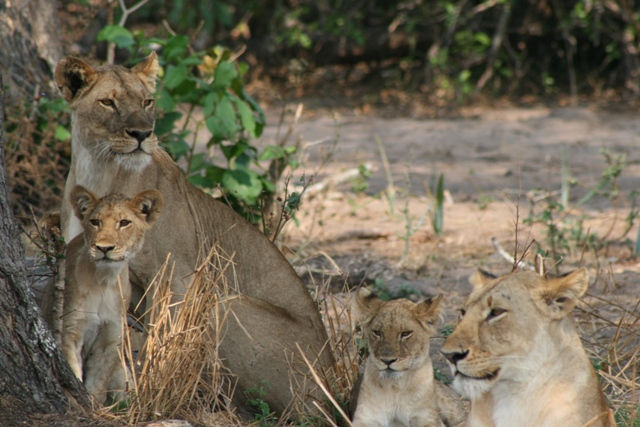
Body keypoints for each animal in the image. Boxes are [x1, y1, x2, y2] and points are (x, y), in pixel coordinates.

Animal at [41, 185, 163, 404]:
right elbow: (74, 372)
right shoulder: (70, 331)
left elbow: (97, 384)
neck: (104, 281)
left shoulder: (110, 337)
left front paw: (93, 405)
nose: (104, 248)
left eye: (124, 222)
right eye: (95, 222)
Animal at [54, 53, 333, 416]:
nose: (143, 134)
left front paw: (148, 392)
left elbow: (160, 341)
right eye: (108, 102)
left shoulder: (176, 277)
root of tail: (333, 384)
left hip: (225, 304)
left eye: (147, 102)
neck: (100, 170)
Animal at [352, 288, 466, 427]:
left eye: (405, 333)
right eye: (377, 332)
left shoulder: (428, 417)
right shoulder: (365, 418)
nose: (387, 361)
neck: (395, 386)